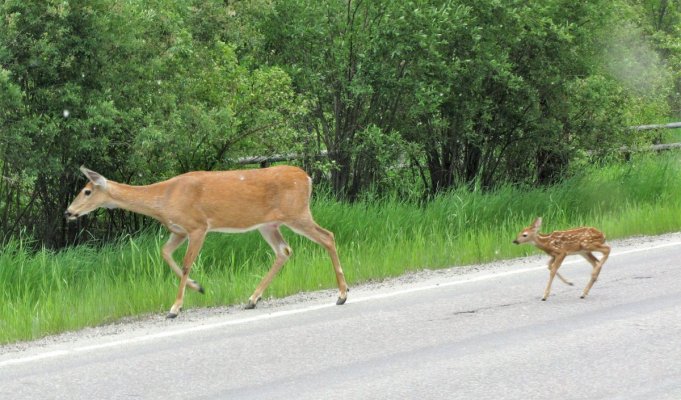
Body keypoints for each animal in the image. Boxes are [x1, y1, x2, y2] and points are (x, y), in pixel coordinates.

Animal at [65, 164, 348, 318]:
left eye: (86, 191)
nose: (68, 212)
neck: (163, 199)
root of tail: (307, 178)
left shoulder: (198, 226)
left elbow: (186, 263)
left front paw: (175, 307)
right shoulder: (178, 230)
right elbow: (164, 253)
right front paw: (198, 287)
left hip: (297, 213)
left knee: (328, 236)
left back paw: (342, 294)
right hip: (269, 224)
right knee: (284, 250)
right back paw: (252, 299)